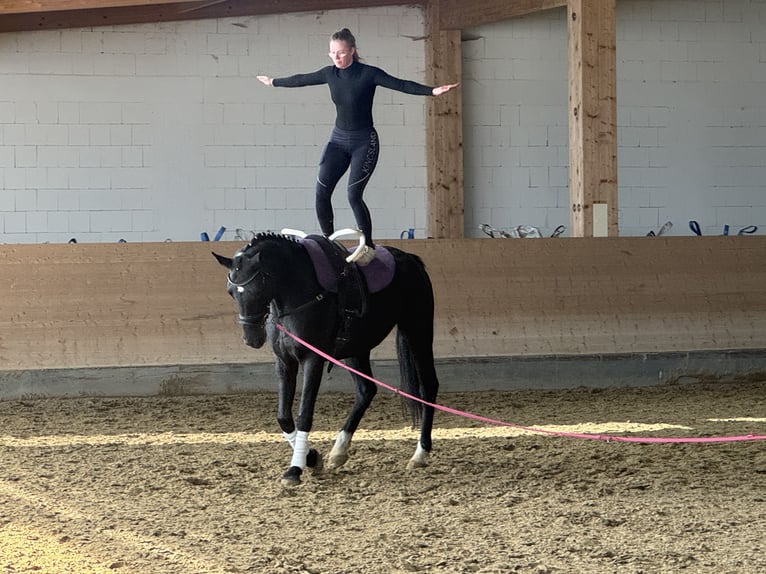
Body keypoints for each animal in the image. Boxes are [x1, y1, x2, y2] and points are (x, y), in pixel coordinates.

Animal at [213, 232, 440, 486]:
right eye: (231, 291)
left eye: (260, 288)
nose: (251, 339)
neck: (298, 295)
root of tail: (409, 258)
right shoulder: (284, 362)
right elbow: (283, 417)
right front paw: (311, 457)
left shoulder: (312, 360)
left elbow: (304, 415)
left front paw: (295, 469)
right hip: (357, 348)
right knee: (366, 390)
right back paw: (339, 451)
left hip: (417, 330)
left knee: (428, 386)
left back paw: (420, 454)